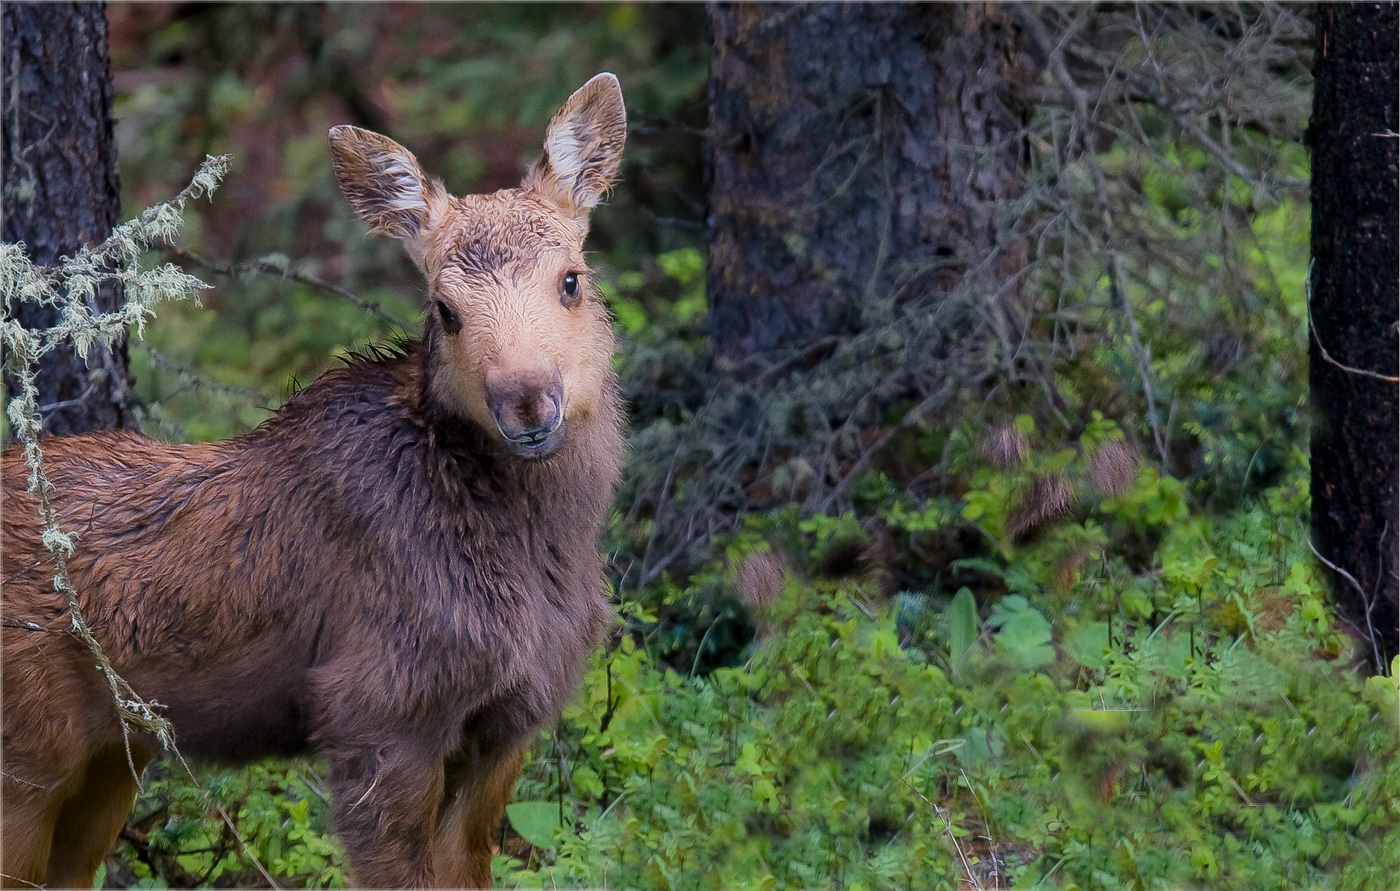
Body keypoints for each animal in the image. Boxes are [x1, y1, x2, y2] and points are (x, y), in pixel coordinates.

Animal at [0, 71, 624, 891]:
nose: (527, 401)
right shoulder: (379, 715)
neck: (545, 545)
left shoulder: (505, 727)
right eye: (445, 309)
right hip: (28, 755)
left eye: (571, 281)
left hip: (109, 759)